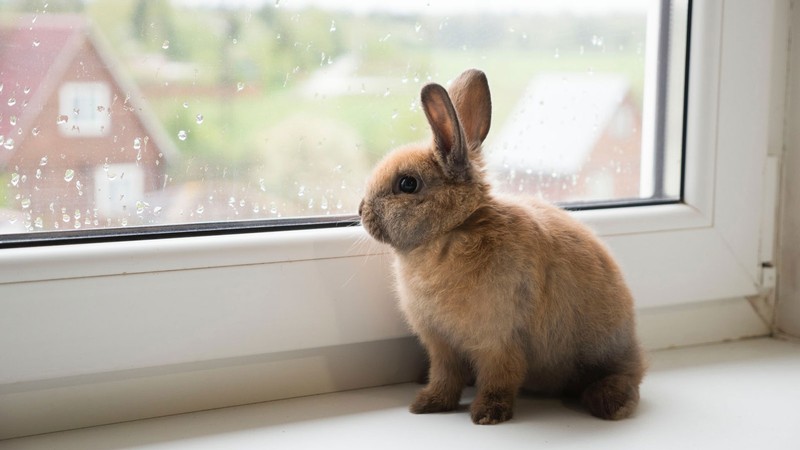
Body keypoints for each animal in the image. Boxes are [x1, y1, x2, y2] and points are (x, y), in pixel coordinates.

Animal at [358, 69, 645, 425]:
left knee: (627, 377)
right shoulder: (441, 345)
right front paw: (427, 404)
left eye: (407, 184)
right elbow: (444, 376)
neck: (453, 230)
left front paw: (487, 414)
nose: (360, 211)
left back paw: (611, 403)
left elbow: (500, 377)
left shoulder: (499, 340)